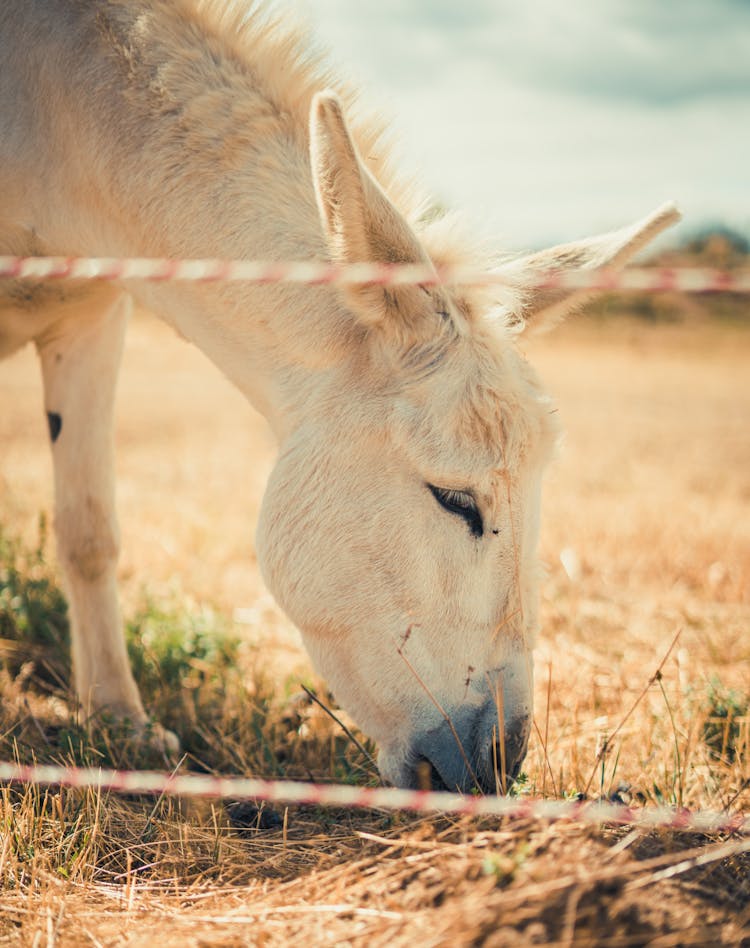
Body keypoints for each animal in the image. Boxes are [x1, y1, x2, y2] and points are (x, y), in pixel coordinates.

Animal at [0, 1, 680, 792]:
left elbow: (89, 533)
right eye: (455, 500)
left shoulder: (92, 317)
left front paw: (120, 722)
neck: (59, 123)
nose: (495, 768)